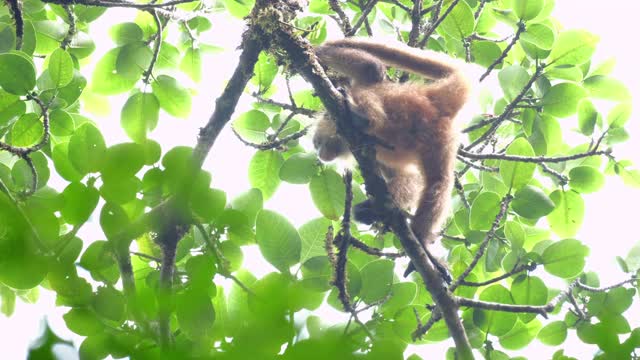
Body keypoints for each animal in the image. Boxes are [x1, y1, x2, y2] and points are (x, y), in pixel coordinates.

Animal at [312, 38, 472, 276]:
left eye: (318, 142)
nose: (320, 154)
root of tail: (433, 99)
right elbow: (409, 178)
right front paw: (374, 210)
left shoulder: (360, 88)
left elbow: (373, 69)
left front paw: (316, 49)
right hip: (441, 139)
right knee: (439, 181)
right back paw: (422, 242)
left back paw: (362, 118)